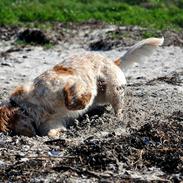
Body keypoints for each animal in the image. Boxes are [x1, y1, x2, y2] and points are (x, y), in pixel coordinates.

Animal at [0, 37, 164, 137]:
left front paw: (83, 100)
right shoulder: (53, 122)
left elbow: (73, 98)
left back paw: (117, 119)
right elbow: (52, 131)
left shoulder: (66, 83)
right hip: (105, 95)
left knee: (118, 109)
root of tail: (113, 62)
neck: (30, 107)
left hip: (114, 92)